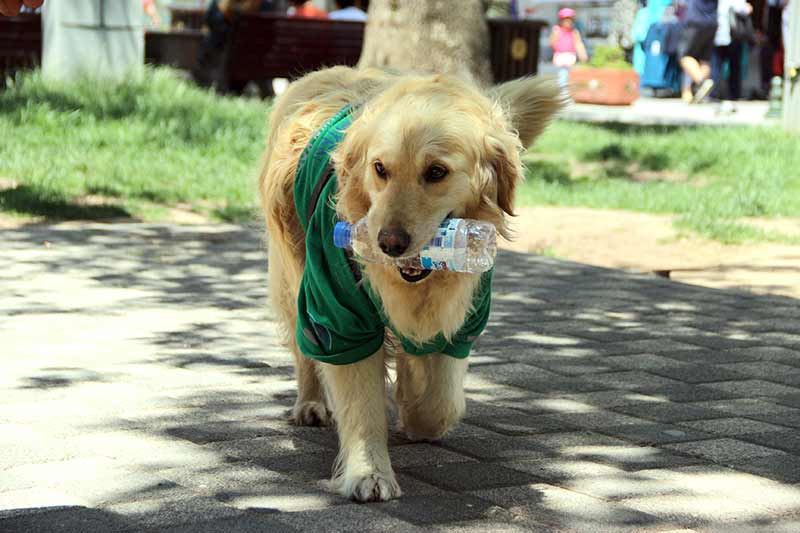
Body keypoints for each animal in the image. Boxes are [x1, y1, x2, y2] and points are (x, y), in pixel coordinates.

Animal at [260, 64, 560, 500]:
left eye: (436, 172)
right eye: (380, 169)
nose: (389, 243)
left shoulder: (463, 319)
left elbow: (439, 404)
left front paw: (413, 411)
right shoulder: (338, 313)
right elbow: (361, 406)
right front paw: (369, 473)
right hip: (292, 275)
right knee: (303, 349)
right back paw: (311, 403)